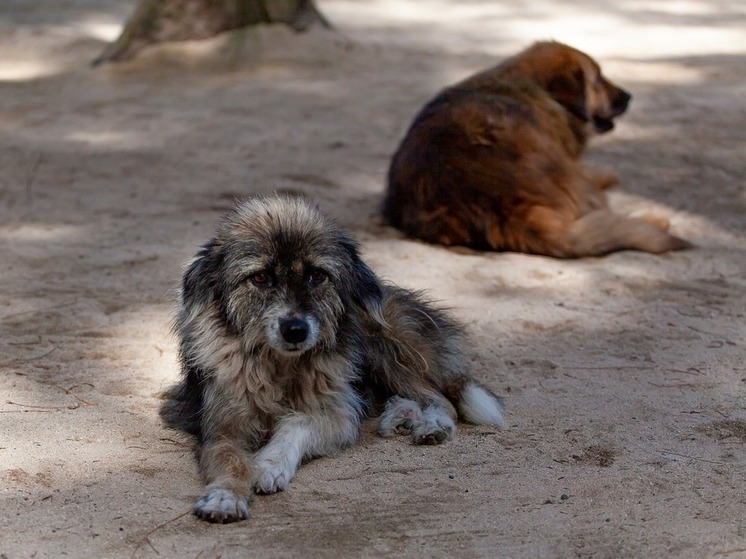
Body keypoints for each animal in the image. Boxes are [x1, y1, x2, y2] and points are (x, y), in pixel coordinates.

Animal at [167, 195, 506, 524]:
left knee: (439, 397)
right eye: (260, 277)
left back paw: (431, 424)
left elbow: (298, 423)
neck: (281, 367)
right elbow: (231, 461)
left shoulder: (337, 413)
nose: (295, 330)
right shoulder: (222, 426)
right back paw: (400, 415)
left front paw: (269, 464)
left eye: (317, 275)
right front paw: (225, 496)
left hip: (384, 346)